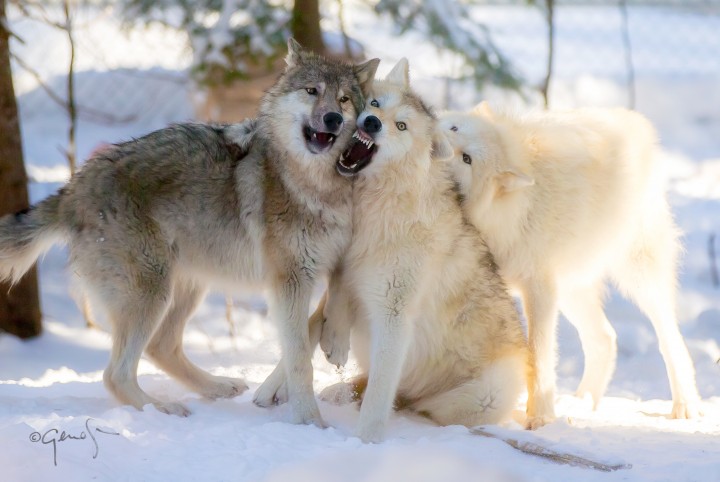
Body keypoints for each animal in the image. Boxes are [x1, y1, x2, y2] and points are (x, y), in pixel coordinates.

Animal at [0, 39, 380, 428]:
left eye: (344, 99)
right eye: (312, 91)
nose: (333, 118)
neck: (316, 185)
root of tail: (74, 187)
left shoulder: (329, 265)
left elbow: (320, 318)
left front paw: (330, 348)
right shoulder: (288, 280)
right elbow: (300, 357)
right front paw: (310, 422)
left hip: (186, 287)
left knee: (160, 347)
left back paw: (217, 387)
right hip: (152, 292)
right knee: (115, 374)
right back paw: (161, 409)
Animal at [256, 58, 524, 442]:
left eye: (401, 126)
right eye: (375, 103)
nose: (371, 122)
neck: (375, 210)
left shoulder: (393, 314)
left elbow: (378, 394)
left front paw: (364, 443)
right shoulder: (346, 275)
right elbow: (308, 331)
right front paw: (270, 387)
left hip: (487, 394)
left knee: (413, 401)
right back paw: (341, 391)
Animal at [442, 103, 700, 428]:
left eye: (467, 158)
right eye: (453, 128)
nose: (438, 139)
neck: (506, 209)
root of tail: (635, 121)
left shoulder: (538, 291)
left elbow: (537, 356)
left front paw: (540, 417)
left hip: (639, 282)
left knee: (671, 341)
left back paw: (685, 405)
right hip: (571, 293)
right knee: (604, 338)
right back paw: (581, 404)